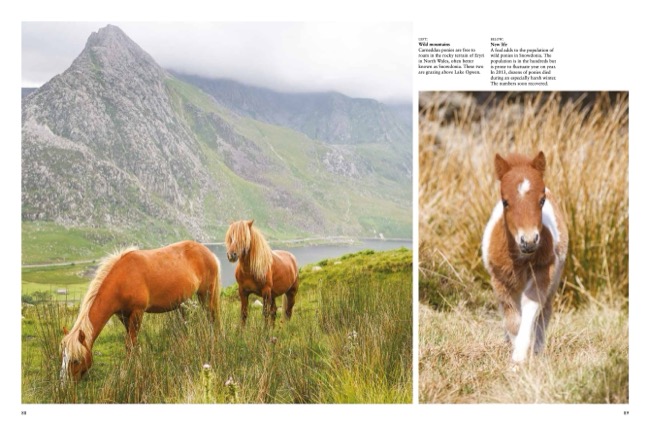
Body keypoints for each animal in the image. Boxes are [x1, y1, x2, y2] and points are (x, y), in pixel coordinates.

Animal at [60, 240, 221, 381]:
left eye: (76, 360)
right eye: (63, 356)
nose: (64, 385)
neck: (122, 280)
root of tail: (208, 252)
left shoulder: (137, 312)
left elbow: (130, 343)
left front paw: (127, 371)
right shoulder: (124, 316)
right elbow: (133, 342)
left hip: (206, 295)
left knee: (213, 319)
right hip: (184, 302)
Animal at [481, 151, 568, 364]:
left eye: (542, 200)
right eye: (505, 201)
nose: (528, 241)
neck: (520, 259)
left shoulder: (541, 275)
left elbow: (530, 313)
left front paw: (519, 359)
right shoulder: (500, 282)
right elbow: (513, 321)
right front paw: (515, 355)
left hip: (553, 282)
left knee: (544, 314)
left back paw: (537, 351)